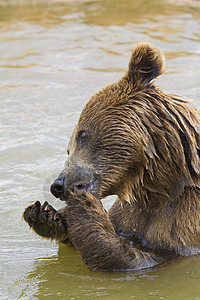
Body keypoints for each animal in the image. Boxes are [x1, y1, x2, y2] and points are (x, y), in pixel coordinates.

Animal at [22, 42, 200, 272]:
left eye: (82, 134)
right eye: (68, 148)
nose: (57, 185)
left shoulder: (185, 222)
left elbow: (143, 259)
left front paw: (84, 209)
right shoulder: (130, 214)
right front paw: (44, 216)